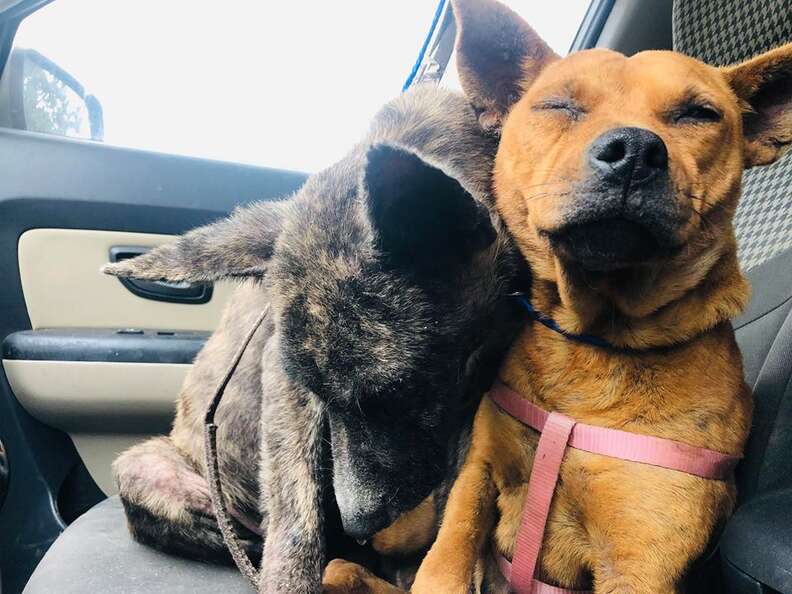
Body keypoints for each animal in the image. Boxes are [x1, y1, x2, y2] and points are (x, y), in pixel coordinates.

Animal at [103, 84, 524, 592]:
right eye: (316, 392)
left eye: (398, 390)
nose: (357, 525)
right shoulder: (285, 385)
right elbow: (295, 518)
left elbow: (458, 491)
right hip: (147, 468)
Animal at [406, 1, 792, 592]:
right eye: (558, 105)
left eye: (699, 114)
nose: (634, 151)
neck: (594, 345)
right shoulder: (479, 473)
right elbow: (448, 556)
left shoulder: (640, 556)